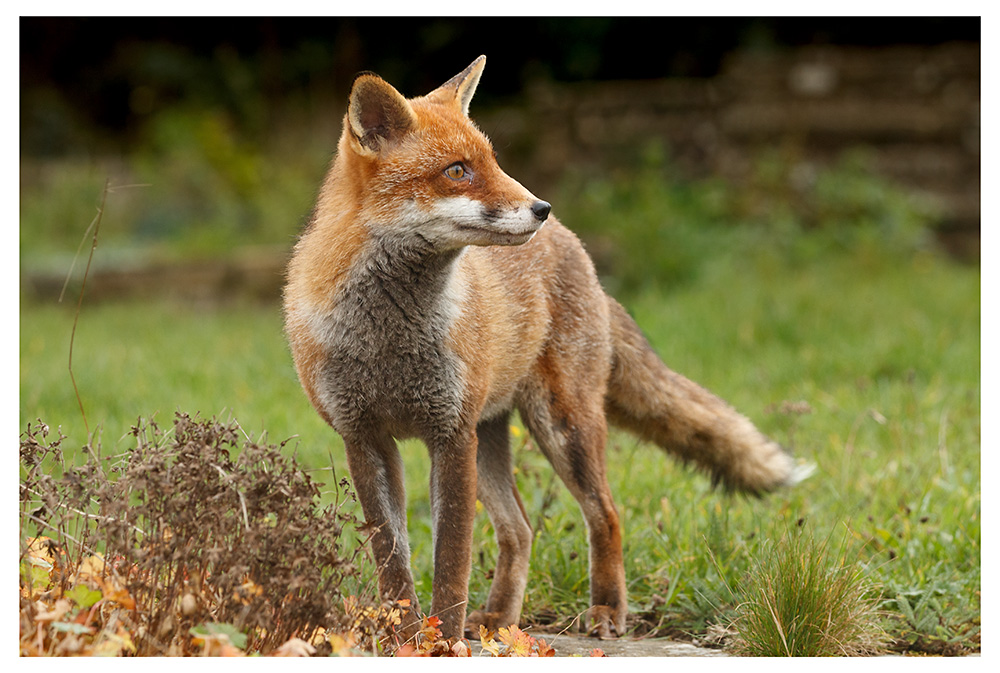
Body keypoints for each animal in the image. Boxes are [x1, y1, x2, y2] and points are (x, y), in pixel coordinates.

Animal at [284, 55, 809, 641]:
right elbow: (394, 562)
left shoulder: (449, 433)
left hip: (561, 427)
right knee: (520, 528)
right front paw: (404, 636)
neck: (388, 342)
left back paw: (606, 611)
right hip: (492, 438)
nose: (540, 206)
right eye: (458, 171)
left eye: (493, 160)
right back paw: (499, 621)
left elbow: (451, 563)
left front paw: (442, 643)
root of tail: (577, 247)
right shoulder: (365, 436)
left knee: (606, 515)